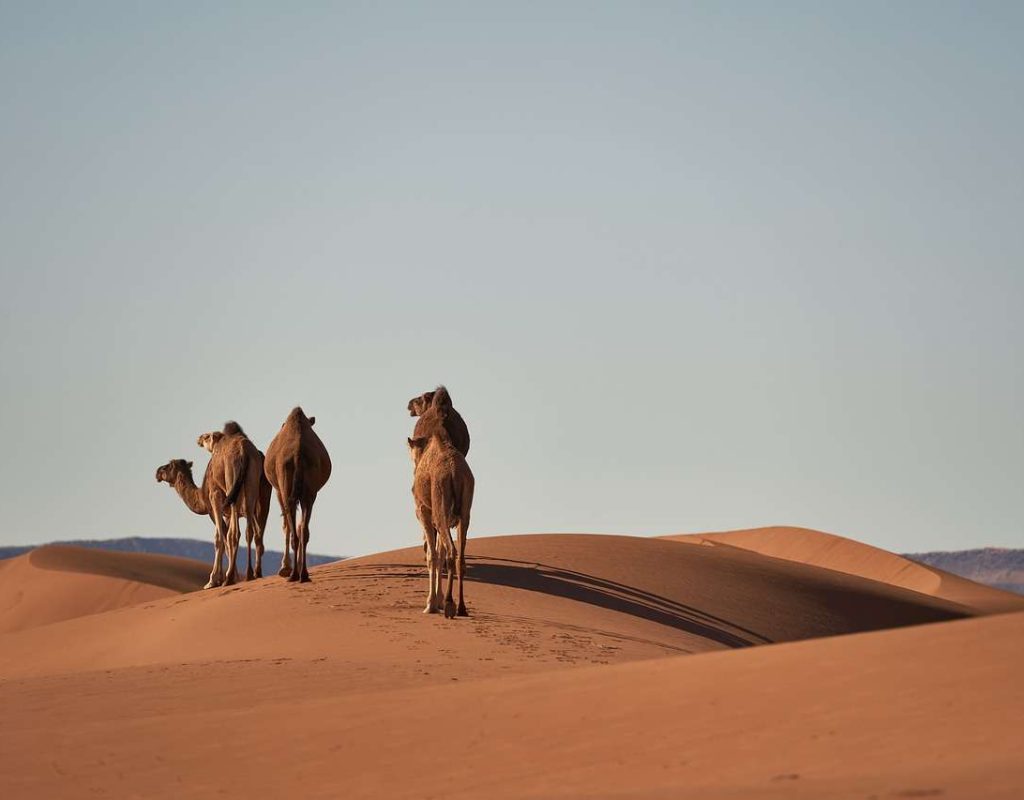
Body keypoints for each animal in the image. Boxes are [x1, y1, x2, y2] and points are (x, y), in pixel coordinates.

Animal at [264, 409, 331, 581]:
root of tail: (297, 454)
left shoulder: (278, 491)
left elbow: (286, 526)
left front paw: (284, 567)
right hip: (309, 492)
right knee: (303, 530)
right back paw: (303, 574)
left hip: (286, 485)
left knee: (293, 528)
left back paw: (293, 574)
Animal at [405, 405, 473, 618]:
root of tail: (454, 473)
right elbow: (439, 553)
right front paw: (438, 600)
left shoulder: (424, 511)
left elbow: (432, 556)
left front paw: (431, 604)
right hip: (464, 510)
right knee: (459, 556)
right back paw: (461, 608)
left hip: (440, 506)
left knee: (451, 552)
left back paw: (450, 605)